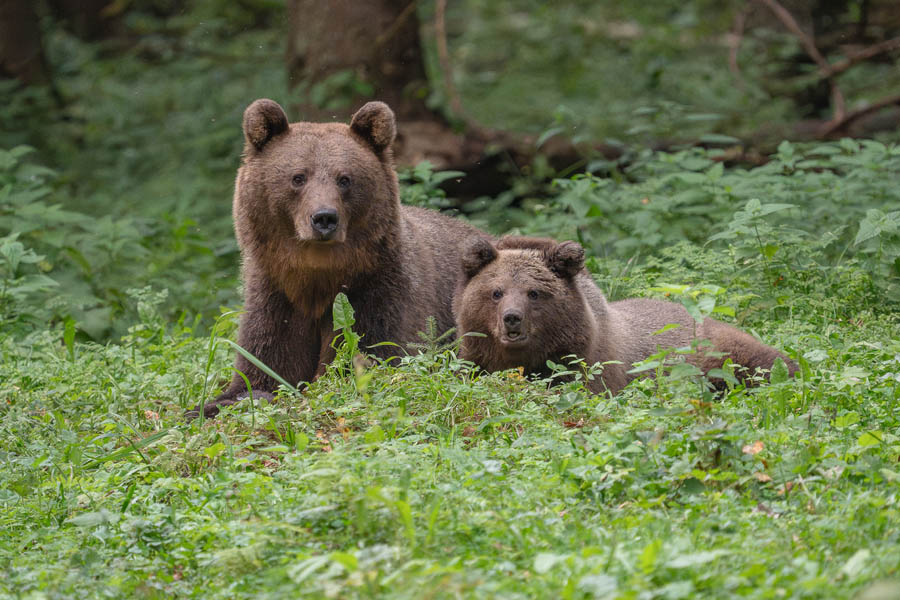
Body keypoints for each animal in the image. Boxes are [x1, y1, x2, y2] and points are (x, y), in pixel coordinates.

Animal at [192, 99, 489, 418]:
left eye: (344, 179)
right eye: (298, 177)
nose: (324, 218)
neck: (318, 275)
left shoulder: (378, 291)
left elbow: (372, 353)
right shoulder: (276, 294)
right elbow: (265, 363)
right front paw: (212, 404)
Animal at [454, 236, 797, 395]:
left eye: (533, 293)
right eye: (496, 292)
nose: (512, 318)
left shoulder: (587, 366)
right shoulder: (475, 361)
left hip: (721, 353)